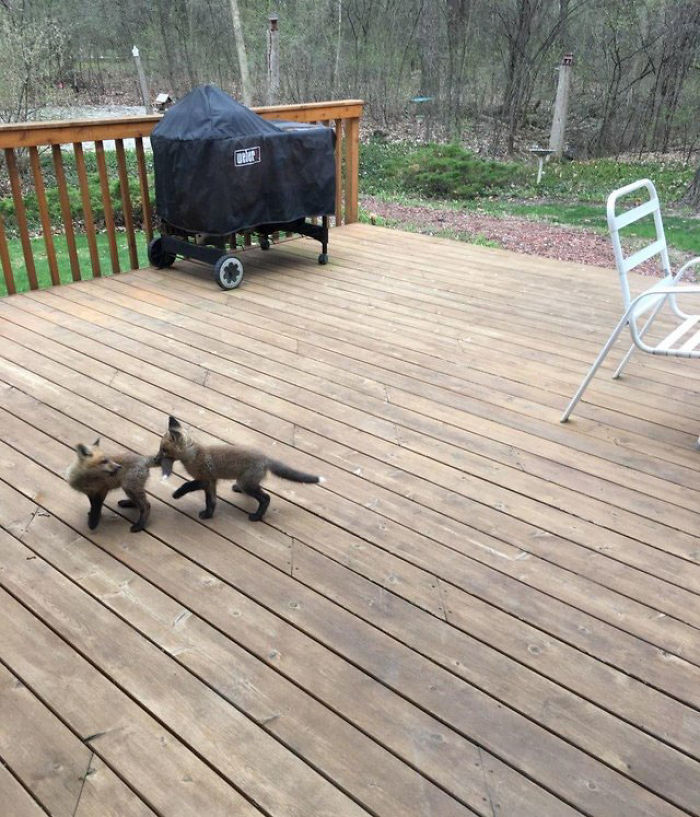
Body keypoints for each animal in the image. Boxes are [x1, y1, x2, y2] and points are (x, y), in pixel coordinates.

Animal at [158, 415, 324, 521]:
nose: (156, 458)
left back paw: (256, 517)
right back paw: (238, 489)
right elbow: (211, 501)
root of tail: (265, 458)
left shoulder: (205, 479)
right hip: (246, 482)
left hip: (247, 484)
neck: (194, 455)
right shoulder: (211, 482)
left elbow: (188, 485)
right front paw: (209, 514)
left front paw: (177, 494)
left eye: (164, 450)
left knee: (266, 498)